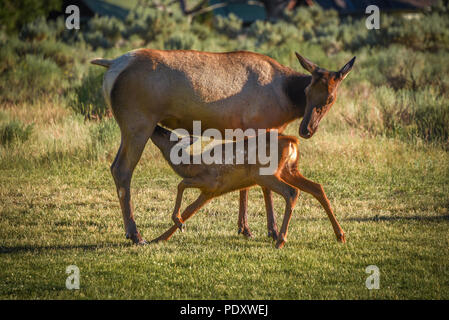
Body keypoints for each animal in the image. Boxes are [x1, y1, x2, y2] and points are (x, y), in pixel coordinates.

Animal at [149, 125, 344, 248]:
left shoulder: (211, 181)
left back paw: (280, 240)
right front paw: (159, 238)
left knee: (291, 192)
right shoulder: (209, 192)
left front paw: (176, 222)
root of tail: (292, 142)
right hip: (289, 170)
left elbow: (180, 185)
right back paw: (340, 235)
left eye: (169, 135)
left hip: (264, 174)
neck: (191, 165)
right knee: (317, 187)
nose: (156, 127)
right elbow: (189, 210)